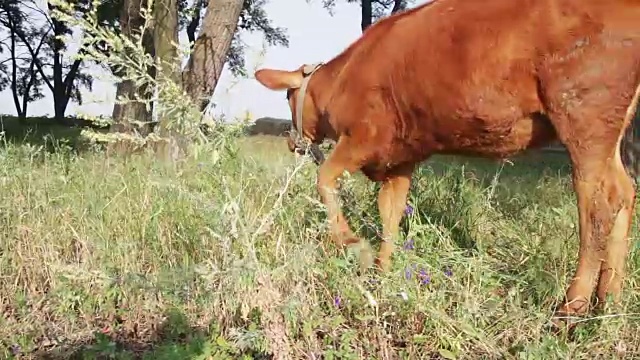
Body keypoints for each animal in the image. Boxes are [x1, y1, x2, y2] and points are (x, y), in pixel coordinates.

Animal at [255, 0, 640, 324]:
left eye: (288, 97)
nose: (291, 140)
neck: (345, 75)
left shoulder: (362, 138)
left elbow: (324, 178)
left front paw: (354, 245)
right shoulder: (400, 159)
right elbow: (390, 214)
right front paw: (382, 271)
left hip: (584, 115)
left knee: (598, 205)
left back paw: (571, 308)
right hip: (608, 133)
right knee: (624, 191)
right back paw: (609, 302)